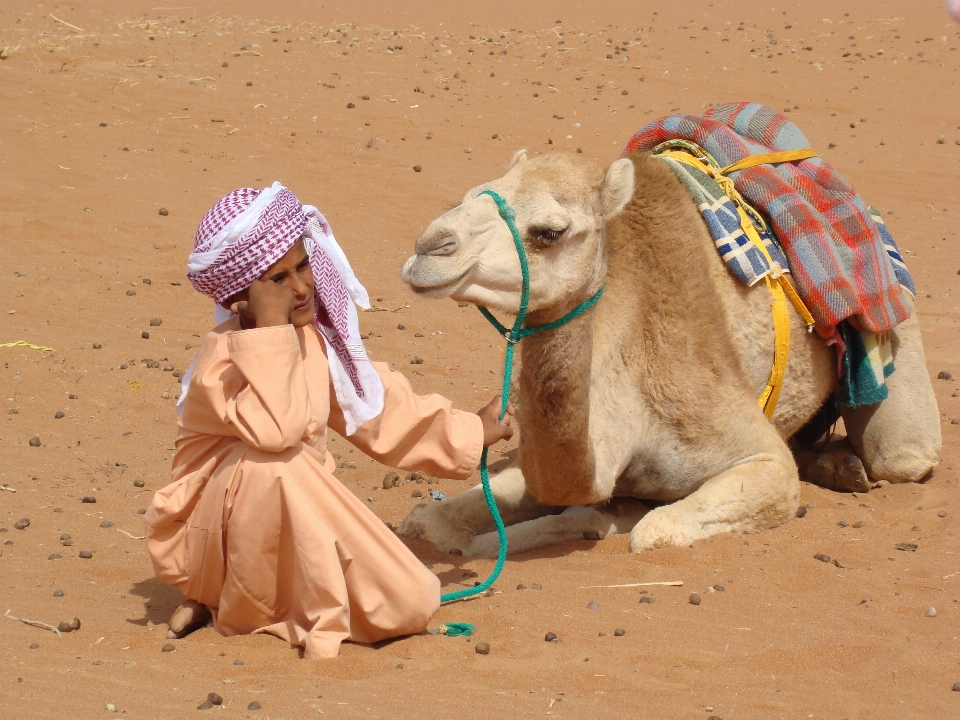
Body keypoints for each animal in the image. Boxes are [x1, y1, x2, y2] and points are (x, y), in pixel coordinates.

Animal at [396, 150, 936, 556]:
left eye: (549, 231)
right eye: (473, 194)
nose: (429, 247)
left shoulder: (758, 457)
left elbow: (653, 530)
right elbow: (429, 520)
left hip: (899, 329)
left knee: (899, 457)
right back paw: (835, 467)